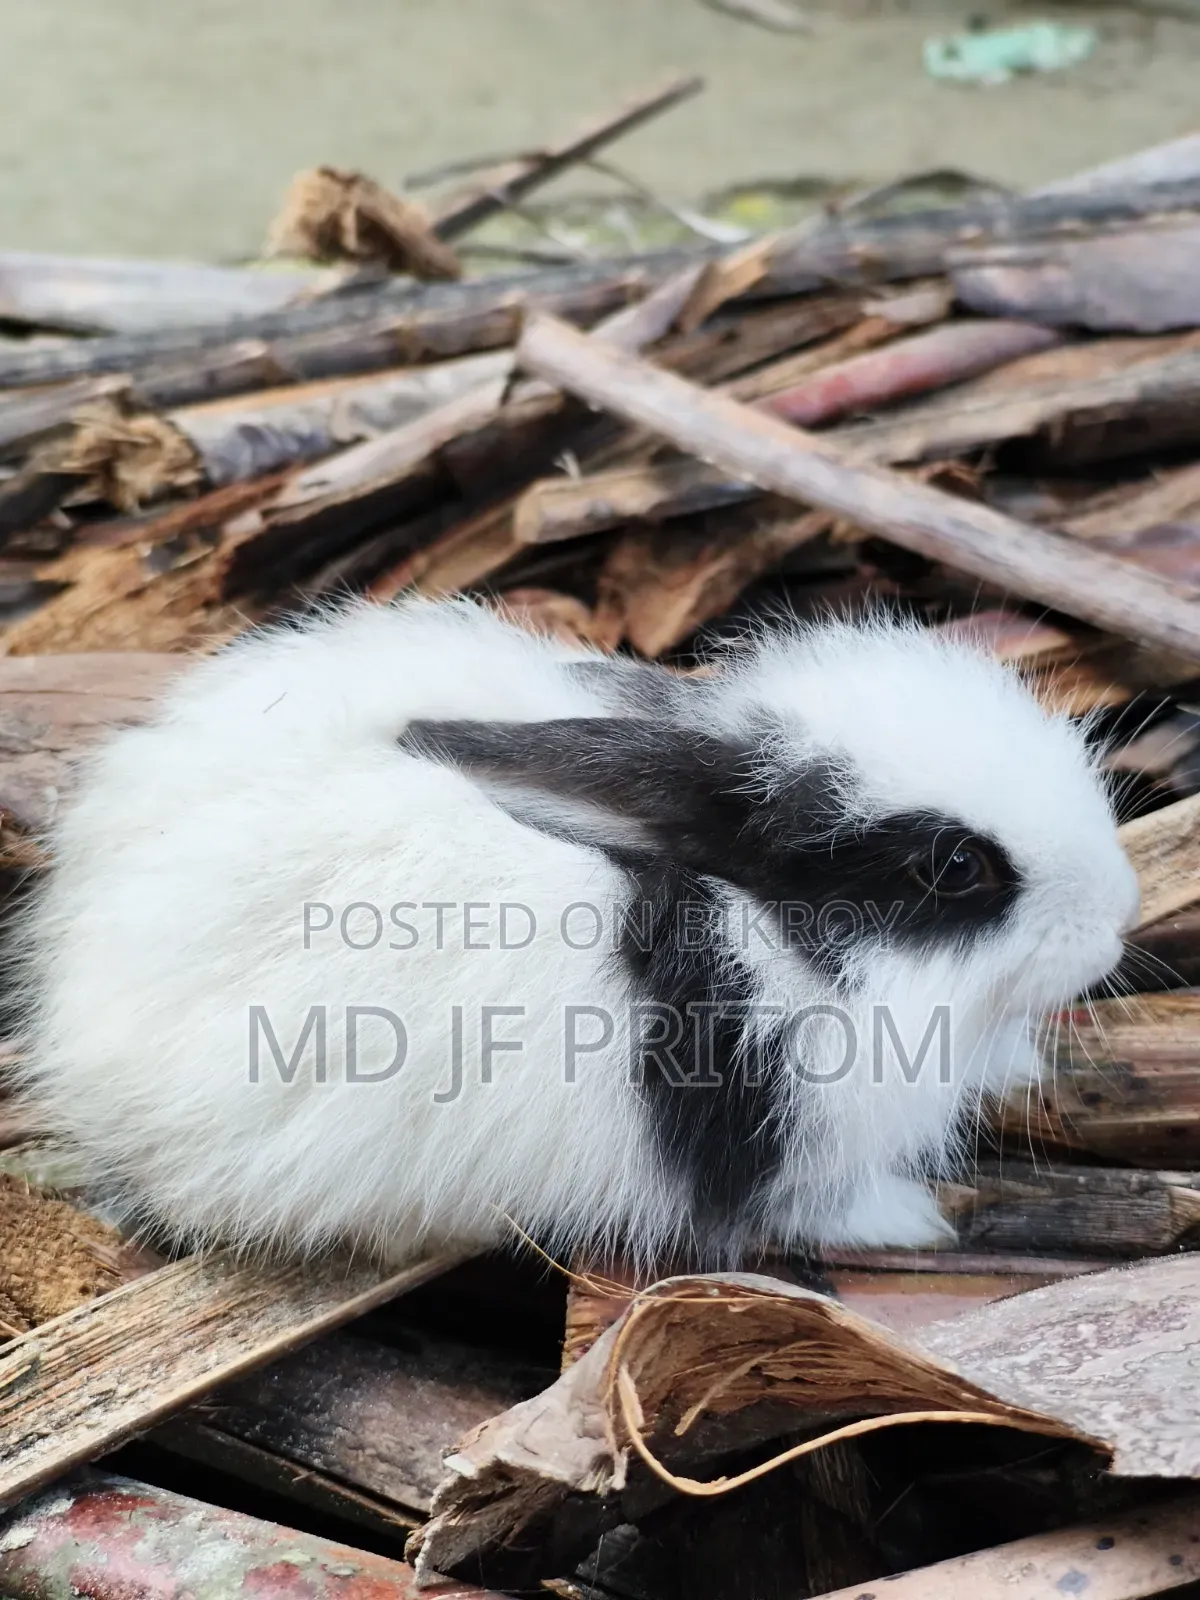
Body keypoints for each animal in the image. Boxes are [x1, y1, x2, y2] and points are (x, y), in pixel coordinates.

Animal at [14, 595, 1139, 1269]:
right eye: (953, 868)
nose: (1119, 915)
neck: (775, 941)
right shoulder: (795, 1151)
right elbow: (820, 1207)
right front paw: (920, 1224)